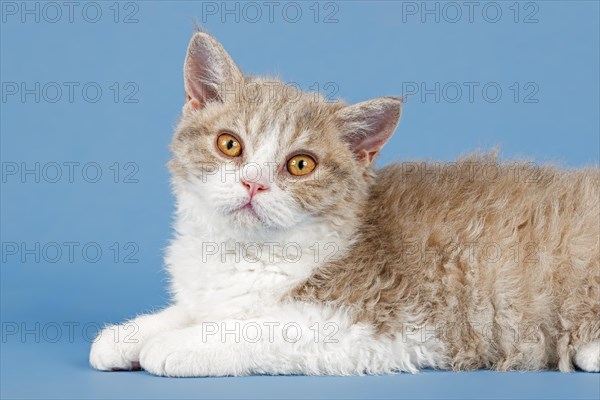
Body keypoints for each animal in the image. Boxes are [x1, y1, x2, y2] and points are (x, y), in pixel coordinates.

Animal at [89, 30, 600, 376]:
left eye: (300, 164)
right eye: (230, 145)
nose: (253, 184)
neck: (241, 252)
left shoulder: (380, 321)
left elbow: (259, 327)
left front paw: (178, 344)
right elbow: (198, 309)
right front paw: (129, 334)